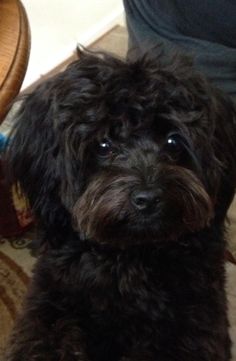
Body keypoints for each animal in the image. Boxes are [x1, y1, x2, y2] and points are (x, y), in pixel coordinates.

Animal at [4, 50, 236, 360]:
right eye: (103, 145)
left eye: (173, 141)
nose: (148, 197)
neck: (131, 258)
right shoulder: (49, 304)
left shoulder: (197, 321)